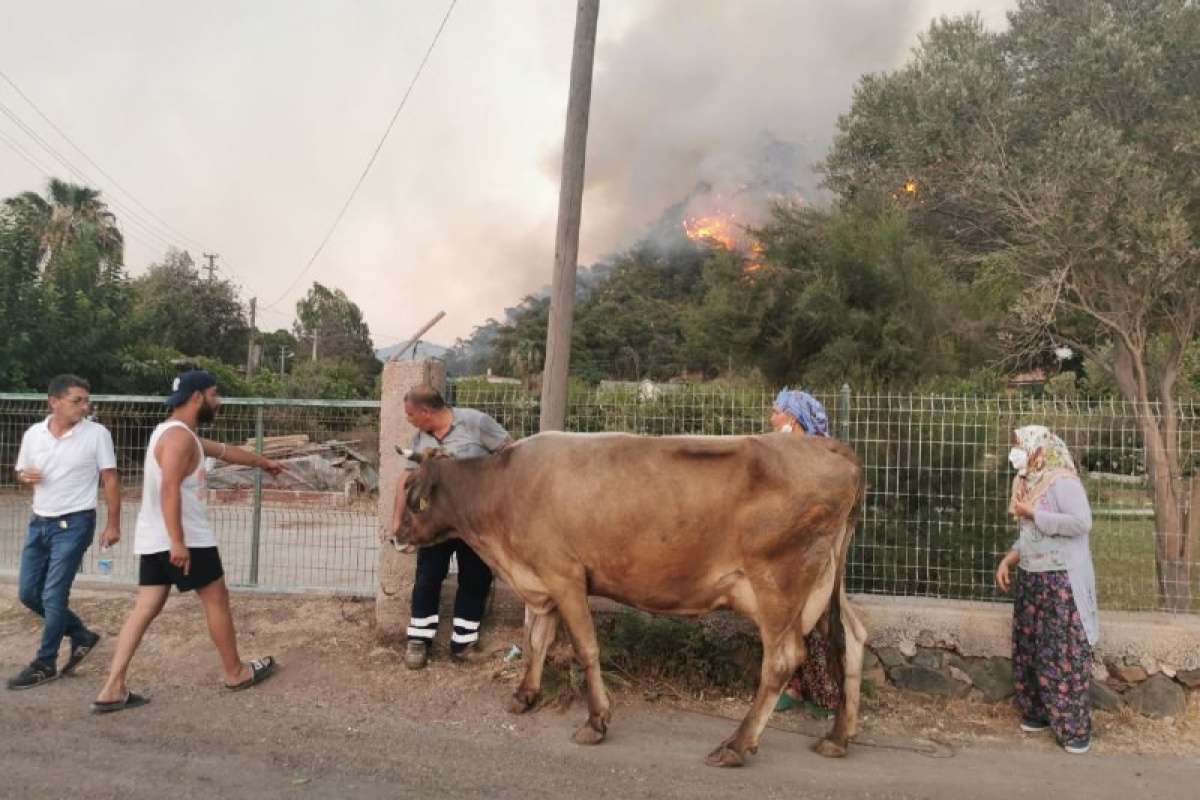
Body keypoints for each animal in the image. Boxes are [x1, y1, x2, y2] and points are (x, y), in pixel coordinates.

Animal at [388, 429, 868, 767]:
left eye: (413, 499)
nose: (394, 538)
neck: (502, 492)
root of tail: (829, 447)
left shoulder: (565, 576)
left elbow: (584, 648)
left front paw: (596, 721)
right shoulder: (541, 581)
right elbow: (536, 640)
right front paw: (524, 696)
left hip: (777, 584)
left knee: (783, 659)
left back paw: (735, 744)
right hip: (828, 581)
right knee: (854, 635)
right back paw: (837, 737)